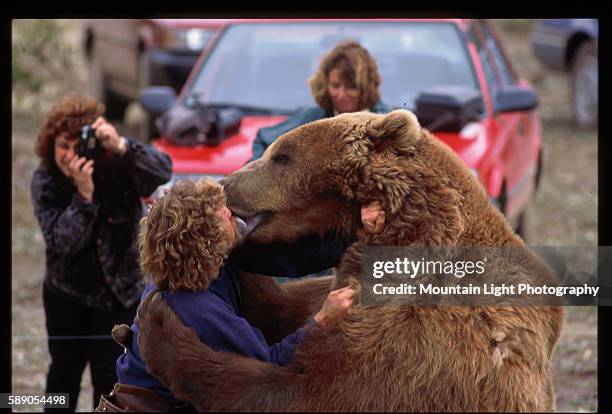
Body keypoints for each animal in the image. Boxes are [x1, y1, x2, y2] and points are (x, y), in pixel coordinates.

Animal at [134, 109, 564, 410]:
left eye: (282, 156)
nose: (227, 184)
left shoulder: (419, 340)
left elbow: (315, 391)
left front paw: (161, 326)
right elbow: (284, 308)